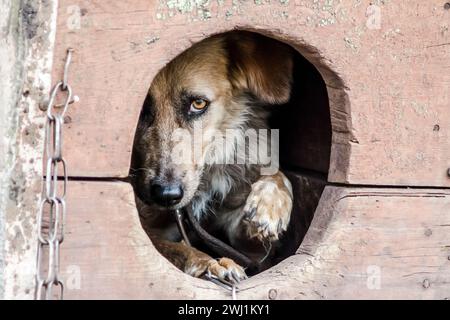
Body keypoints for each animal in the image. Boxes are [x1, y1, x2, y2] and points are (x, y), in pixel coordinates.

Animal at [131, 31, 296, 282]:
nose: (167, 195)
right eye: (140, 109)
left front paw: (270, 205)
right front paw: (210, 264)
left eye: (198, 103)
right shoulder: (148, 228)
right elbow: (173, 248)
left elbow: (278, 175)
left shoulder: (249, 249)